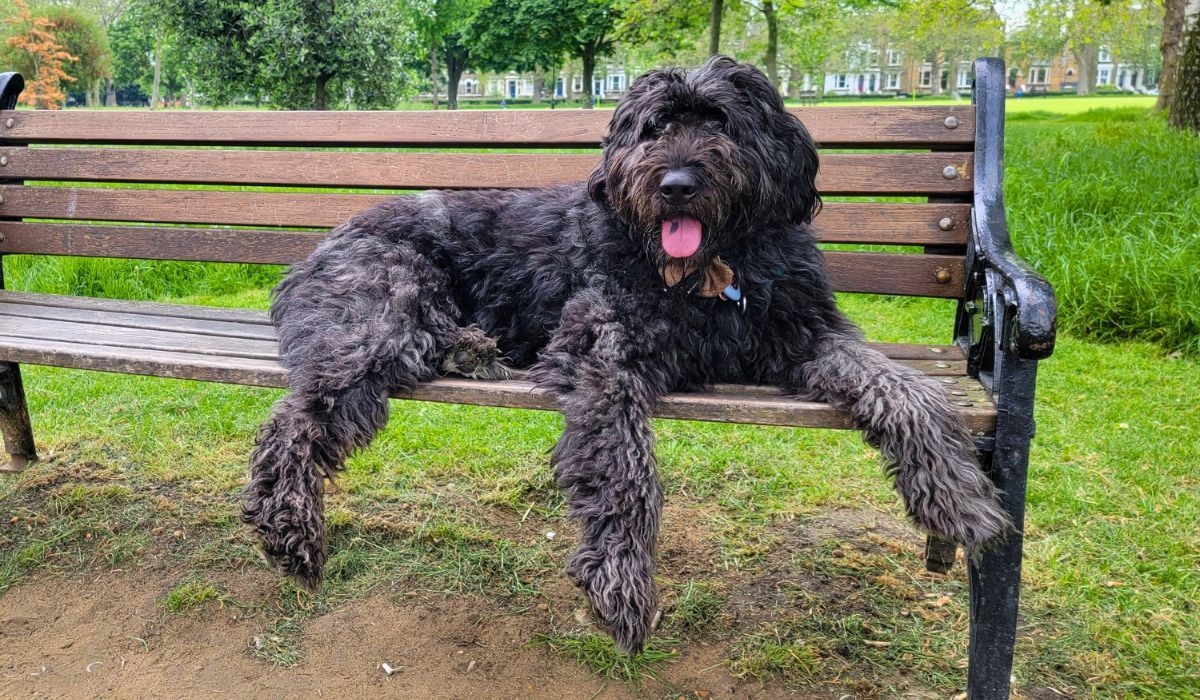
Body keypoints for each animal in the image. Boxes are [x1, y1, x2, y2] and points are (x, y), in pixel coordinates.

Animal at [246, 57, 1012, 653]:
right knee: (296, 416)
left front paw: (955, 492)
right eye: (654, 127)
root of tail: (311, 253)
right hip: (385, 314)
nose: (674, 183)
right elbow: (623, 464)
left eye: (721, 122)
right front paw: (620, 576)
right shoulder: (603, 345)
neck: (711, 276)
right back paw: (288, 524)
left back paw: (470, 350)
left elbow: (901, 387)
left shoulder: (808, 335)